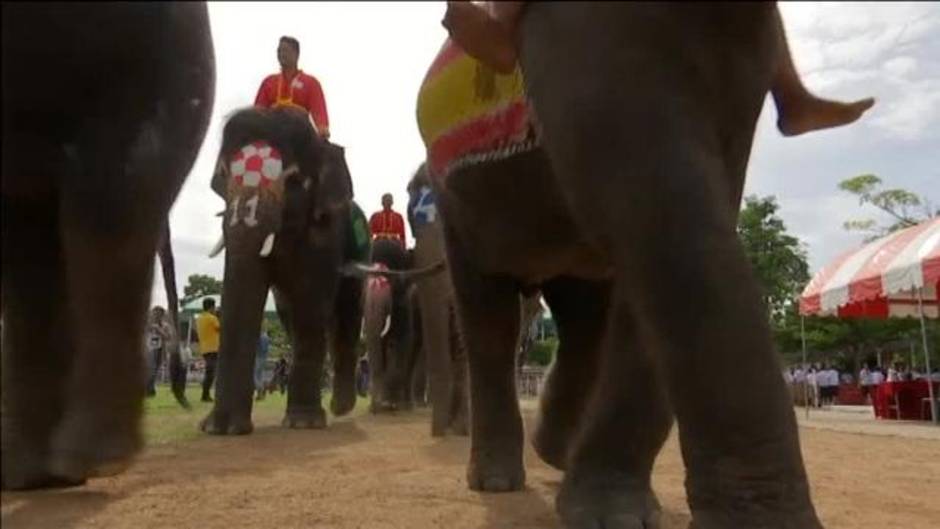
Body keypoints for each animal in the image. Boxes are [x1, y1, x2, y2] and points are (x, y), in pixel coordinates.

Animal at [201, 107, 368, 434]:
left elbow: (312, 304)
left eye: (294, 180)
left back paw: (341, 407)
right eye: (223, 178)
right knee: (291, 315)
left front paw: (303, 422)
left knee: (347, 315)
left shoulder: (325, 234)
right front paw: (219, 429)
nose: (223, 425)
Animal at [416, 4, 824, 528]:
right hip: (454, 202)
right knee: (491, 320)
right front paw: (609, 514)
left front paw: (615, 511)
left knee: (584, 324)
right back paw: (497, 480)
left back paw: (555, 451)